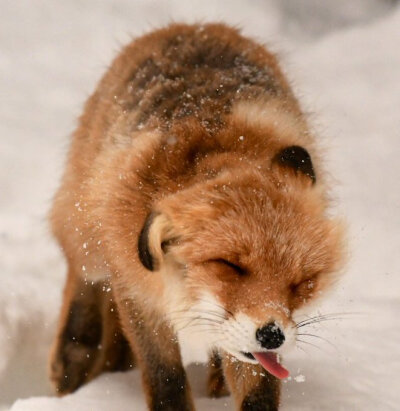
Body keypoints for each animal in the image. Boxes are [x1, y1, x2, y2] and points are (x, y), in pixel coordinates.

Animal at [49, 23, 344, 411]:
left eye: (304, 281)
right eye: (230, 265)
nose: (272, 335)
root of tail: (189, 25)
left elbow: (258, 389)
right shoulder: (138, 294)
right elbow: (165, 379)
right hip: (89, 235)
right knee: (81, 274)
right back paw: (72, 356)